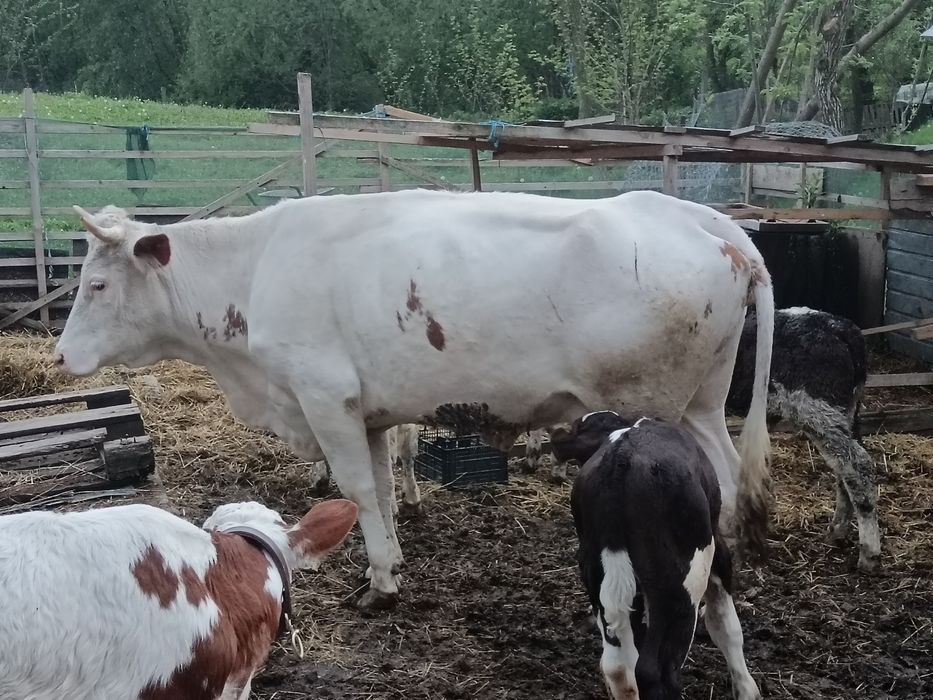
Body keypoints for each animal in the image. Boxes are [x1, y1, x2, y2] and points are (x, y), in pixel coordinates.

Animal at [54, 189, 774, 610]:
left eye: (95, 284)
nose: (60, 357)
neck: (255, 273)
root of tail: (706, 220)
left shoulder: (325, 399)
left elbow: (356, 491)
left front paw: (379, 583)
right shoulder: (368, 413)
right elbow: (377, 487)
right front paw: (393, 559)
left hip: (659, 405)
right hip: (703, 405)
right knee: (727, 478)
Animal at [559, 411, 761, 700]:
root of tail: (620, 460)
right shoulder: (717, 547)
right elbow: (725, 625)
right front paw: (747, 690)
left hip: (599, 572)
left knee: (618, 666)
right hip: (680, 585)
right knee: (655, 671)